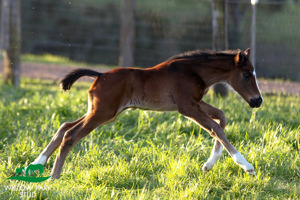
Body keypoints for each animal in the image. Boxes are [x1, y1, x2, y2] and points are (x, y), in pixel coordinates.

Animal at [28, 48, 262, 178]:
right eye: (247, 74)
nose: (257, 101)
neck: (194, 71)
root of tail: (100, 74)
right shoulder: (187, 107)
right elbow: (215, 128)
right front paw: (246, 165)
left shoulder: (195, 103)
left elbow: (221, 117)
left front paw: (208, 164)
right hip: (102, 113)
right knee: (70, 135)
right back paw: (53, 178)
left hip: (102, 112)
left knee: (64, 126)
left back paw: (36, 165)